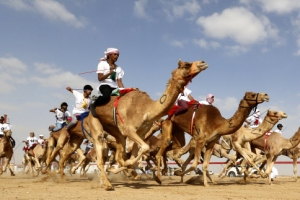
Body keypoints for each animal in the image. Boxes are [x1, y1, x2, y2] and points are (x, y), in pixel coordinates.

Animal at [87, 59, 209, 191]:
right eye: (187, 64)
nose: (203, 62)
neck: (147, 109)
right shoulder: (128, 129)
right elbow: (143, 149)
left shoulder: (140, 132)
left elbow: (135, 155)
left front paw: (133, 170)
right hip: (96, 124)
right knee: (100, 156)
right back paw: (108, 184)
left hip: (116, 132)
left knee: (117, 155)